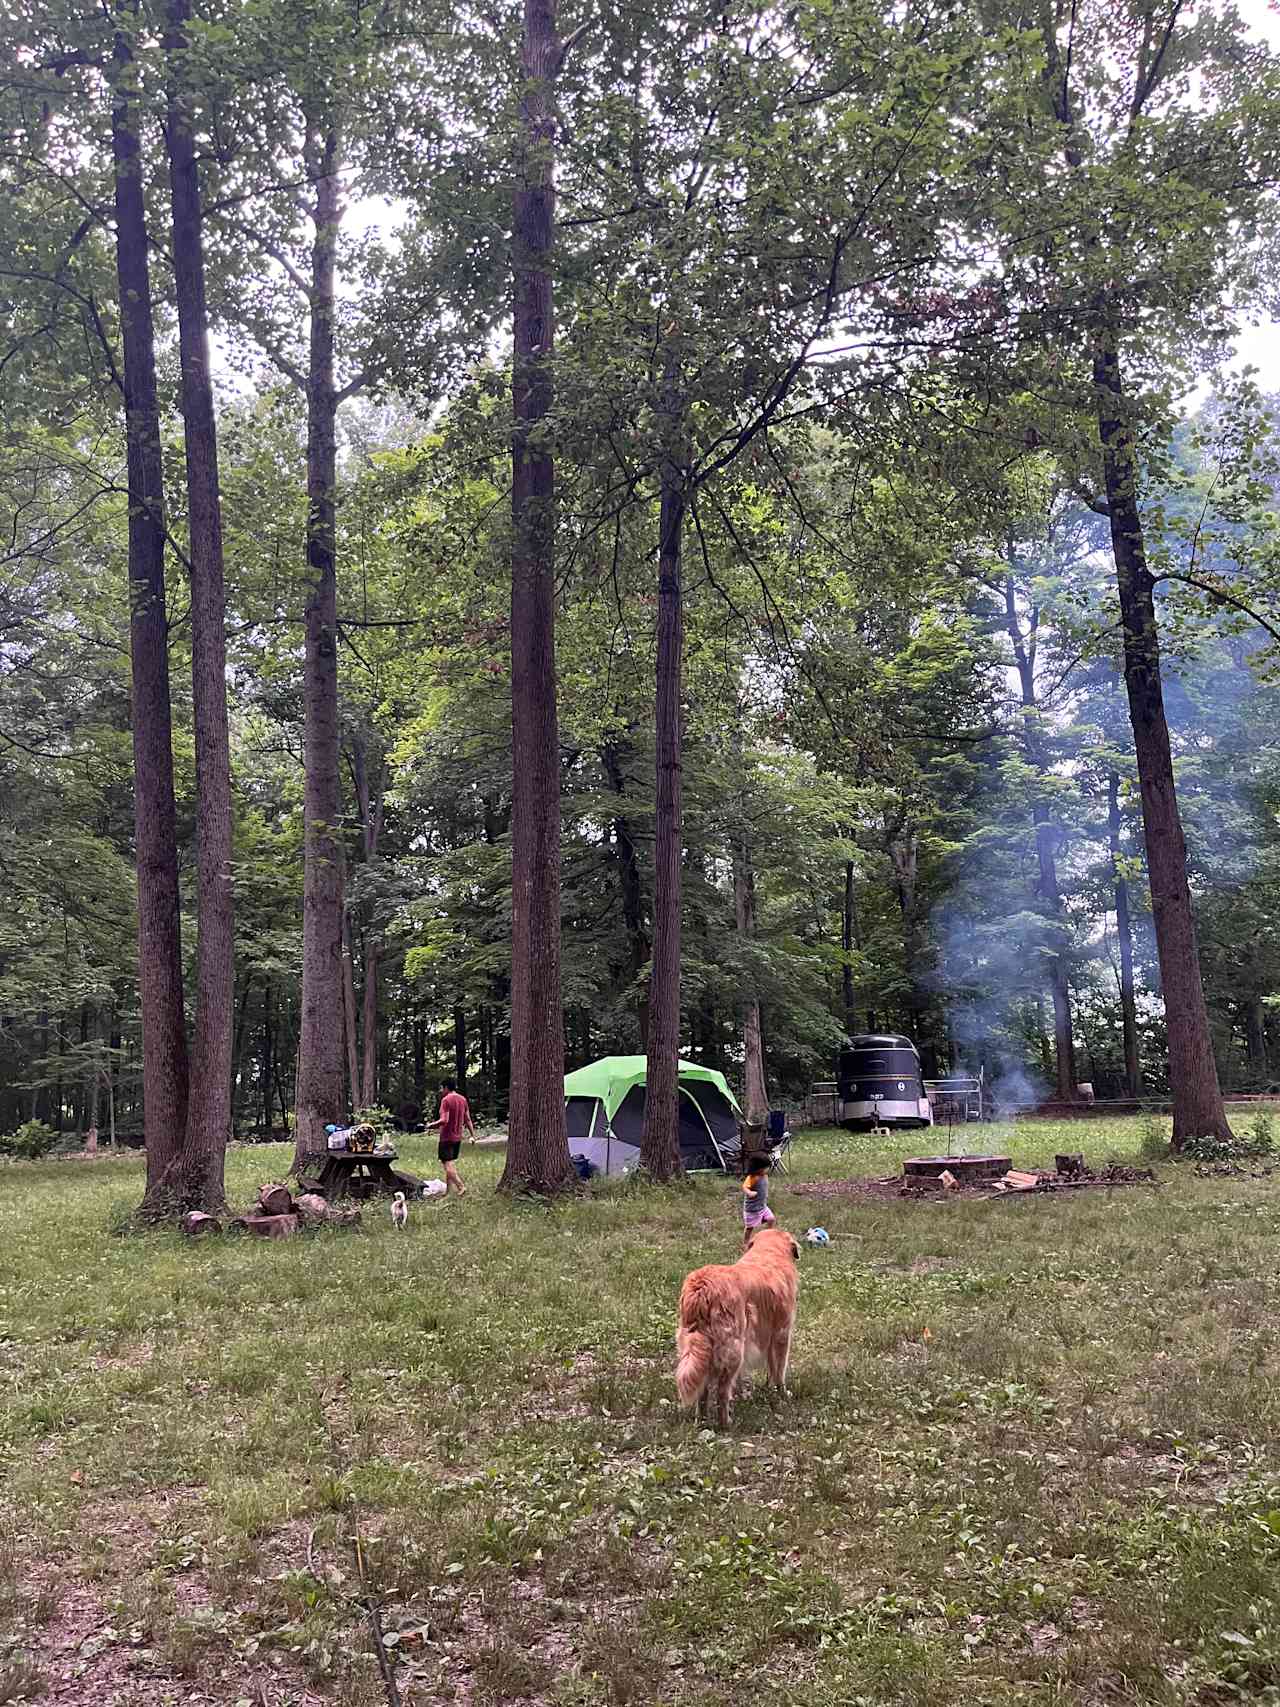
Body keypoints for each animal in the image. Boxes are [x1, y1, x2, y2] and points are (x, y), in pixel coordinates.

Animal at [675, 1229, 798, 1427]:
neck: (768, 1252)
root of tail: (701, 1288)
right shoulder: (782, 1334)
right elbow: (780, 1369)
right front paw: (782, 1393)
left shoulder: (769, 1337)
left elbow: (772, 1367)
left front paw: (769, 1388)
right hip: (733, 1350)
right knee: (722, 1392)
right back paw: (726, 1423)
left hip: (699, 1348)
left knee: (703, 1391)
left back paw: (702, 1419)